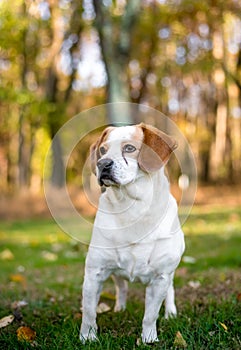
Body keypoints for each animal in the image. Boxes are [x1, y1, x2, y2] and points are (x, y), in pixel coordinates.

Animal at [80, 123, 185, 344]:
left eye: (129, 148)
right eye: (102, 150)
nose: (102, 163)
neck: (132, 208)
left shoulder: (160, 277)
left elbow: (150, 315)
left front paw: (149, 339)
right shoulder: (94, 273)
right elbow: (89, 312)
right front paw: (87, 338)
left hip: (169, 272)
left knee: (170, 290)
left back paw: (171, 313)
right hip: (115, 272)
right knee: (122, 287)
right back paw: (120, 308)